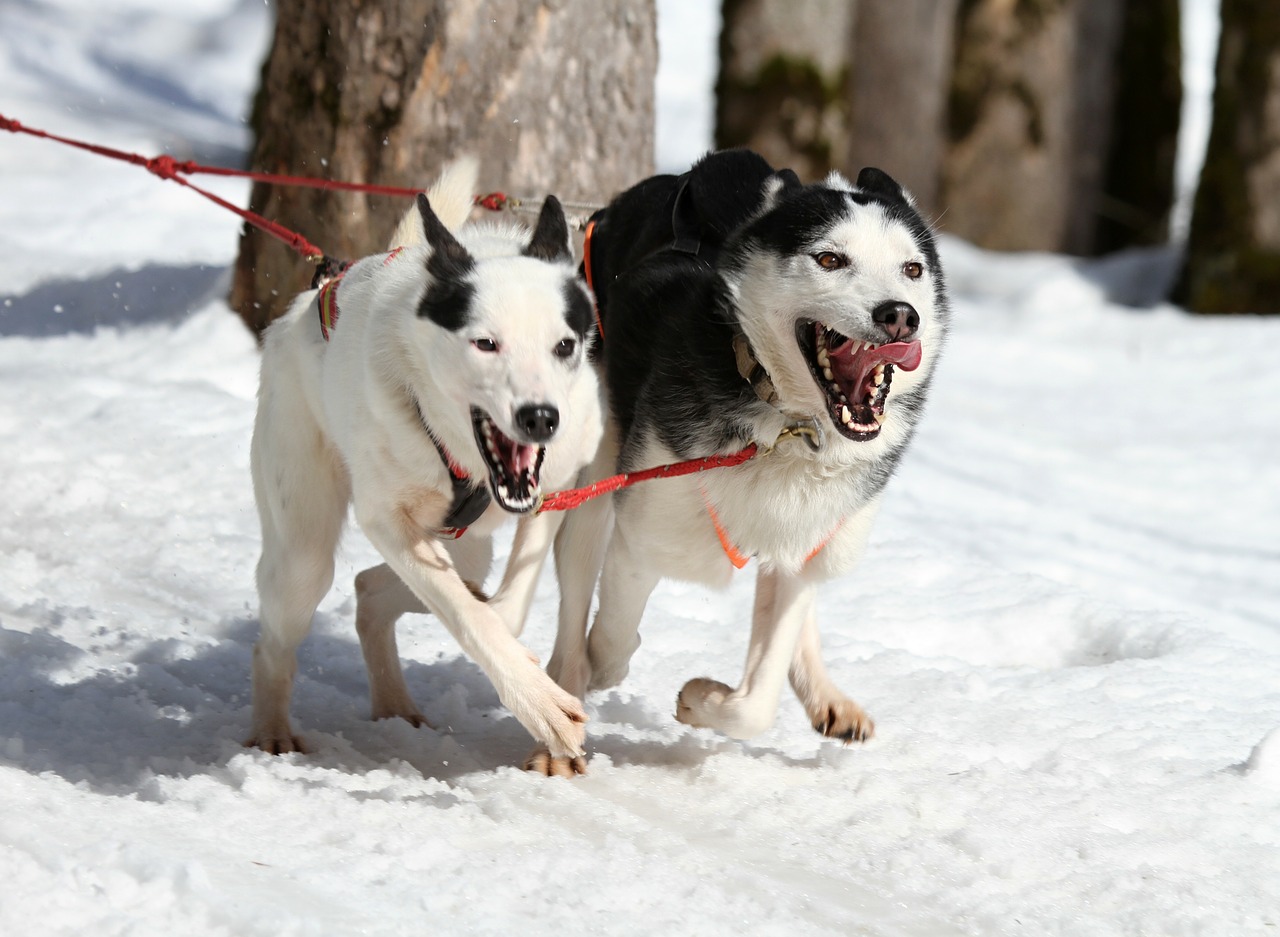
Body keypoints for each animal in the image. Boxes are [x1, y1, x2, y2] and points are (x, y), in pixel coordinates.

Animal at [247, 159, 601, 762]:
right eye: (486, 343)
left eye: (564, 345)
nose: (540, 417)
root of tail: (309, 301)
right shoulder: (389, 522)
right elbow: (466, 615)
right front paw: (542, 703)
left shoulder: (556, 485)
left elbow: (505, 606)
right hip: (302, 555)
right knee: (276, 636)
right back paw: (271, 727)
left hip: (466, 548)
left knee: (372, 591)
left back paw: (394, 704)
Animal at [535, 149, 947, 773]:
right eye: (830, 258)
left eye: (912, 270)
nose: (899, 315)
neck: (788, 425)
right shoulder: (645, 534)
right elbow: (612, 637)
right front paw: (603, 672)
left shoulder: (803, 538)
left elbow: (756, 701)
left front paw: (703, 700)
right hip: (596, 476)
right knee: (577, 584)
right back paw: (565, 701)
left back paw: (825, 694)